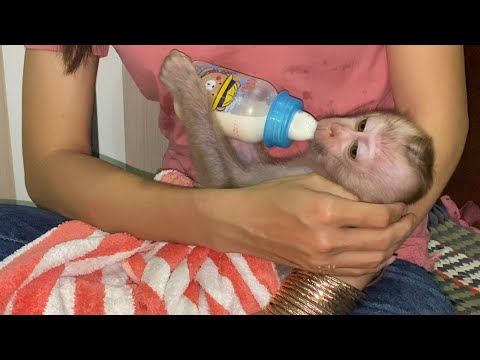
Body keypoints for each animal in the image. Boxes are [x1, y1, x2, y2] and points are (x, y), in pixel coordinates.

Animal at [158, 49, 436, 205]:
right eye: (363, 124)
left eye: (354, 151)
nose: (334, 130)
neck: (325, 166)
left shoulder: (297, 176)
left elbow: (227, 181)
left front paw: (185, 83)